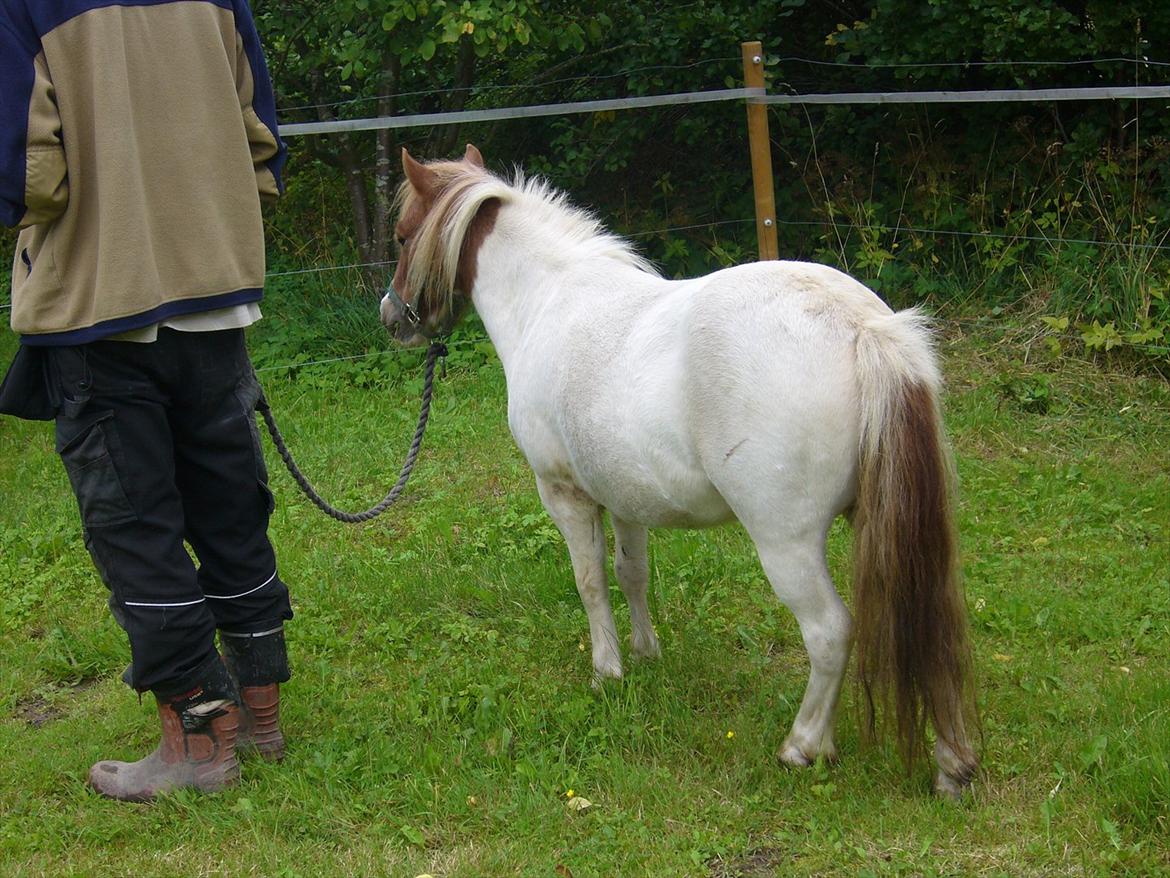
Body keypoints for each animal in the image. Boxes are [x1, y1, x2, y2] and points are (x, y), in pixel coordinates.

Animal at [381, 144, 978, 796]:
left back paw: (803, 746)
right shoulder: (624, 497)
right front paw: (646, 654)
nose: (391, 317)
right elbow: (631, 574)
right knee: (930, 627)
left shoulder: (564, 494)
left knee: (829, 633)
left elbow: (590, 582)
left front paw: (607, 672)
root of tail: (864, 328)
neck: (549, 299)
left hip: (787, 545)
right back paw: (952, 766)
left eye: (403, 234)